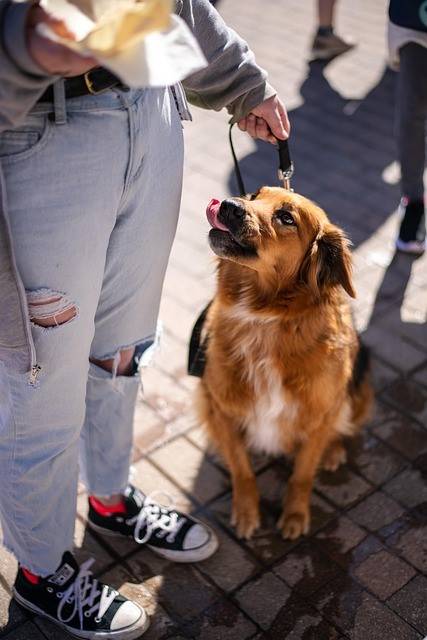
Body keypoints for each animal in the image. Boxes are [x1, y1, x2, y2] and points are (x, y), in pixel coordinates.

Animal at [196, 186, 372, 540]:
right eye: (253, 195)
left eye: (286, 218)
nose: (229, 205)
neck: (265, 317)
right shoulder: (222, 408)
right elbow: (242, 469)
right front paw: (246, 512)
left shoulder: (319, 415)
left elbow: (302, 473)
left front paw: (295, 515)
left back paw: (333, 451)